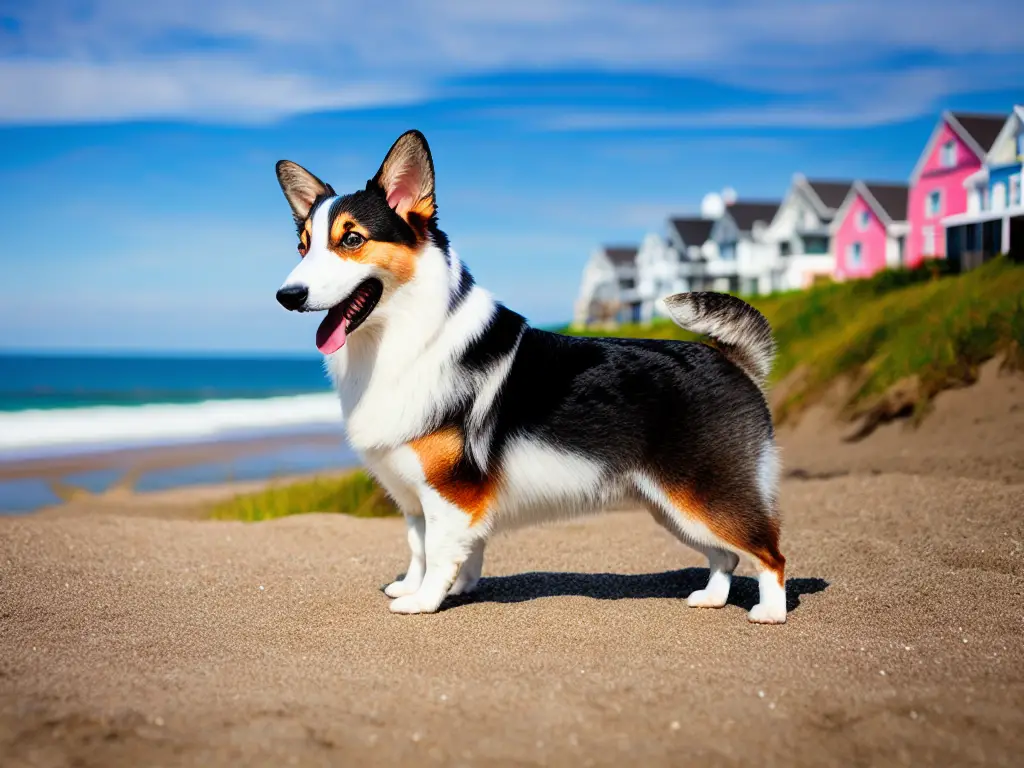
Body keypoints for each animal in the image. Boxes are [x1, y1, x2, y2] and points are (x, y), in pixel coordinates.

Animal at [272, 131, 782, 626]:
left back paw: (770, 612)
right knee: (725, 556)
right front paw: (425, 587)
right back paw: (712, 598)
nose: (286, 296)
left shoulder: (448, 495)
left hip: (706, 495)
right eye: (303, 246)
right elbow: (422, 548)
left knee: (769, 552)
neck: (405, 339)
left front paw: (423, 601)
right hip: (672, 505)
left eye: (351, 239)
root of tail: (732, 360)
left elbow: (438, 552)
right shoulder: (416, 498)